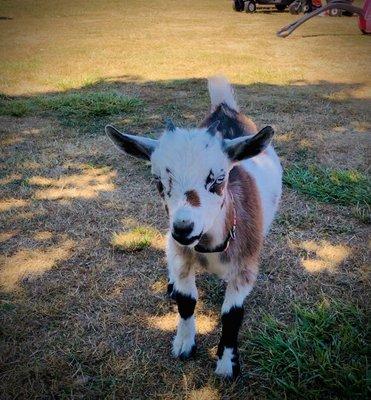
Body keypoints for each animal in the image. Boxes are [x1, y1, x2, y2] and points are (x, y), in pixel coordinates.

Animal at [106, 77, 284, 378]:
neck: (211, 245)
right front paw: (184, 344)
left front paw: (226, 365)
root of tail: (224, 107)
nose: (183, 228)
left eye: (219, 178)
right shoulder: (180, 254)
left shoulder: (245, 266)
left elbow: (232, 315)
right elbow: (186, 299)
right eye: (158, 180)